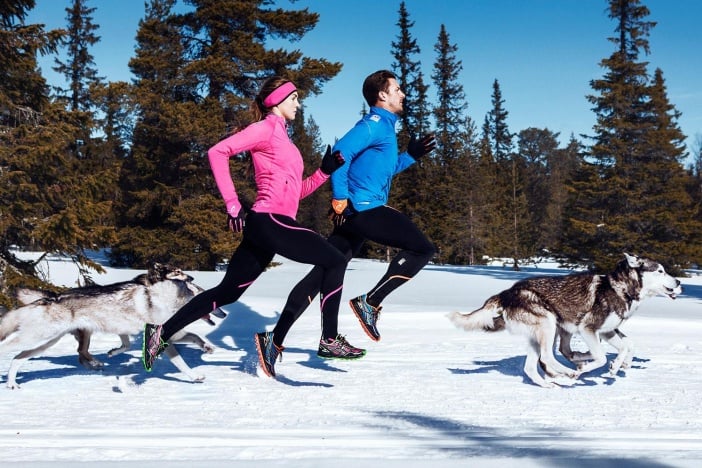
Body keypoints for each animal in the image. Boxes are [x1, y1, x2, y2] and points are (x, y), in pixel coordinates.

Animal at [0, 264, 216, 388]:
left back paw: (11, 384)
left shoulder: (160, 332)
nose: (192, 278)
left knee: (17, 359)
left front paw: (207, 347)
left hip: (45, 341)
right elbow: (182, 362)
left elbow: (194, 337)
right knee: (8, 347)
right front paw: (195, 376)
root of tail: (49, 299)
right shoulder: (162, 336)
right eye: (178, 272)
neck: (162, 296)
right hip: (37, 337)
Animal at [452, 252, 680, 388]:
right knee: (547, 357)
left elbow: (627, 346)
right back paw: (569, 373)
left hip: (541, 333)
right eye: (660, 271)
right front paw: (588, 368)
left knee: (533, 367)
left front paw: (618, 366)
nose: (678, 281)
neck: (621, 289)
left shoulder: (606, 331)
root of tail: (507, 292)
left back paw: (552, 383)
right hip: (549, 324)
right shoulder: (588, 329)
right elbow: (601, 357)